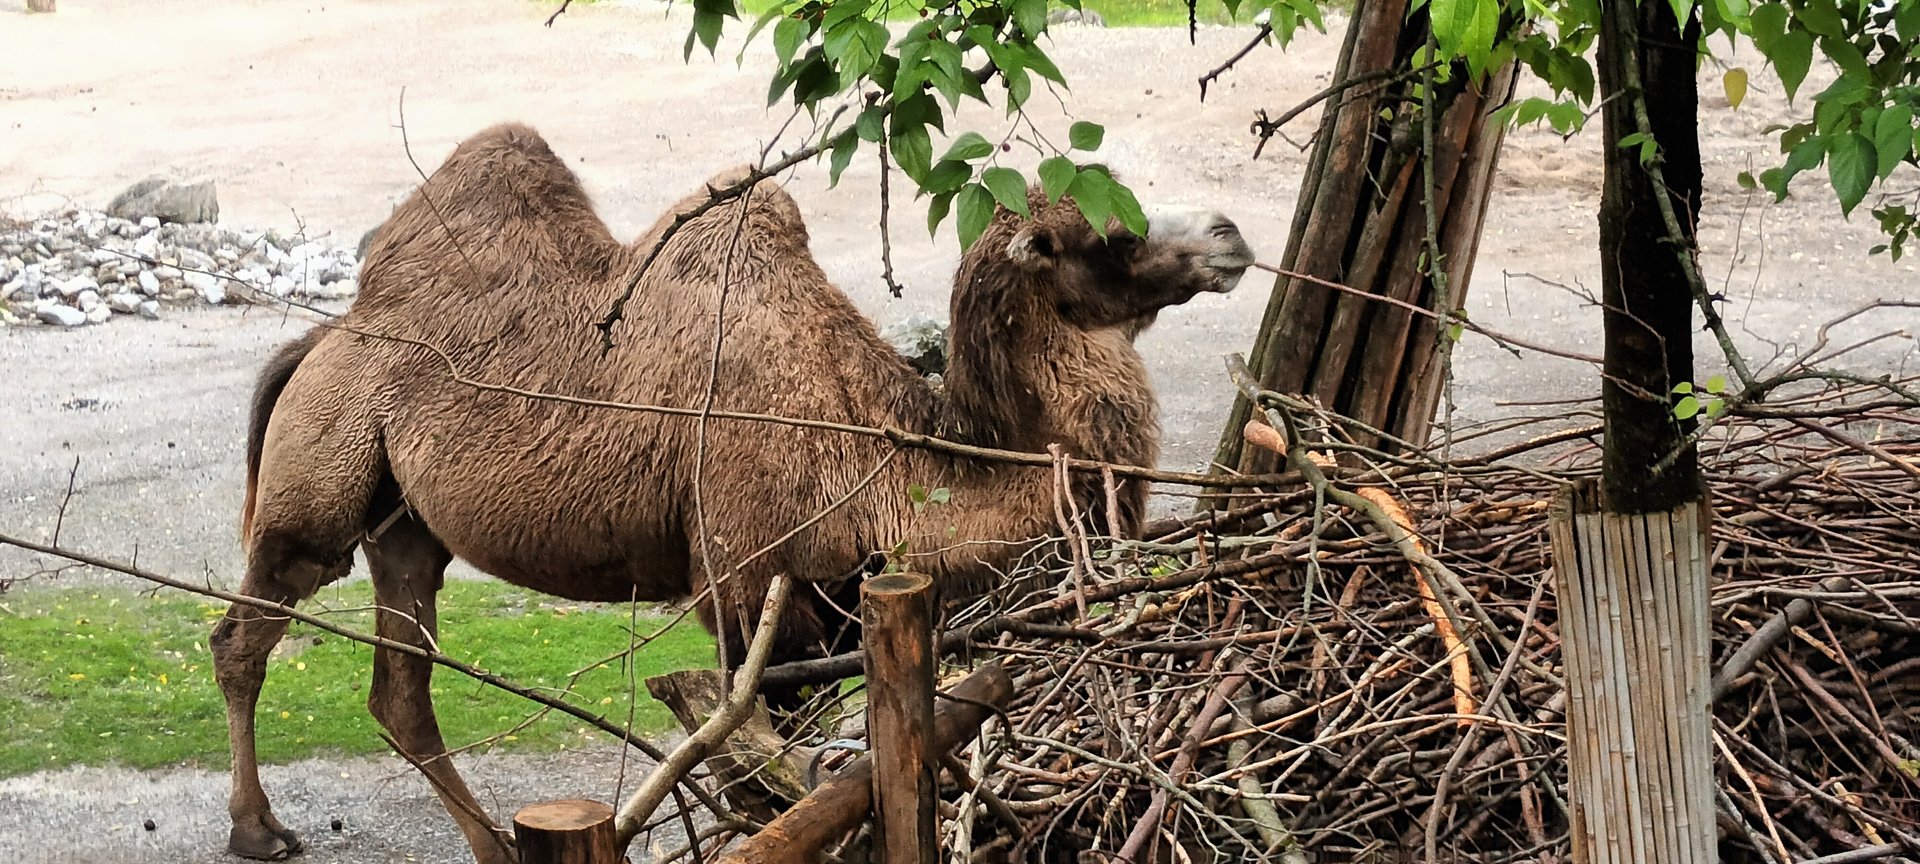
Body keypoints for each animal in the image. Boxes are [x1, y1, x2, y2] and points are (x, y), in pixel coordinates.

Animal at [213, 122, 1254, 862]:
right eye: (1112, 230)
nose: (1231, 232)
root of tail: (326, 336)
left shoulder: (831, 607)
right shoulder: (750, 588)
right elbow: (772, 765)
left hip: (406, 525)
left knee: (400, 687)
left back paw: (494, 846)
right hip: (321, 483)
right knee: (247, 635)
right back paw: (259, 831)